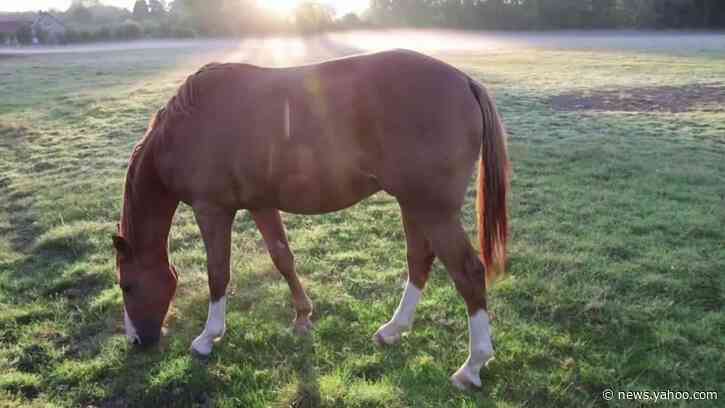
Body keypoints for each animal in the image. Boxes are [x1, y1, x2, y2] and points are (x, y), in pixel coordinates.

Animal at [113, 49, 508, 390]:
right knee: (419, 261)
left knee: (468, 272)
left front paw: (208, 337)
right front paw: (303, 315)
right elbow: (282, 257)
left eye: (127, 286)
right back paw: (394, 330)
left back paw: (472, 366)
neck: (186, 127)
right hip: (413, 204)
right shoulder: (261, 204)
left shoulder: (212, 209)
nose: (136, 341)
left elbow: (218, 273)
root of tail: (464, 81)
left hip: (432, 209)